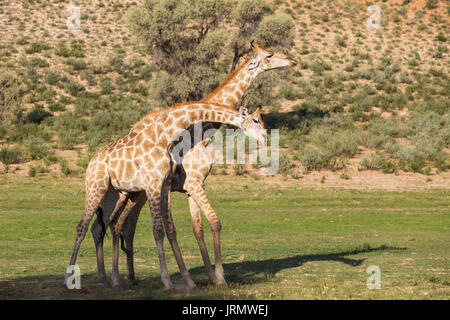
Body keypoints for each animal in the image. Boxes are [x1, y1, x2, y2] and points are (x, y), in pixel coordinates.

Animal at [64, 102, 266, 290]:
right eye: (256, 120)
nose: (265, 138)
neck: (164, 136)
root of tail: (91, 161)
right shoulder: (155, 184)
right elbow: (158, 231)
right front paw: (168, 282)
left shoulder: (164, 186)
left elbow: (171, 229)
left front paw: (189, 280)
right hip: (95, 187)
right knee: (82, 226)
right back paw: (69, 278)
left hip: (116, 195)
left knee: (101, 227)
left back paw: (106, 278)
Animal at [89, 40, 298, 288]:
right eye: (270, 54)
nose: (293, 60)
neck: (203, 132)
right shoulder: (192, 183)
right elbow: (209, 224)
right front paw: (217, 277)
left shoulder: (191, 186)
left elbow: (197, 228)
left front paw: (209, 276)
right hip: (126, 193)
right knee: (110, 225)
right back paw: (110, 277)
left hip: (135, 194)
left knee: (121, 226)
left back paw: (126, 277)